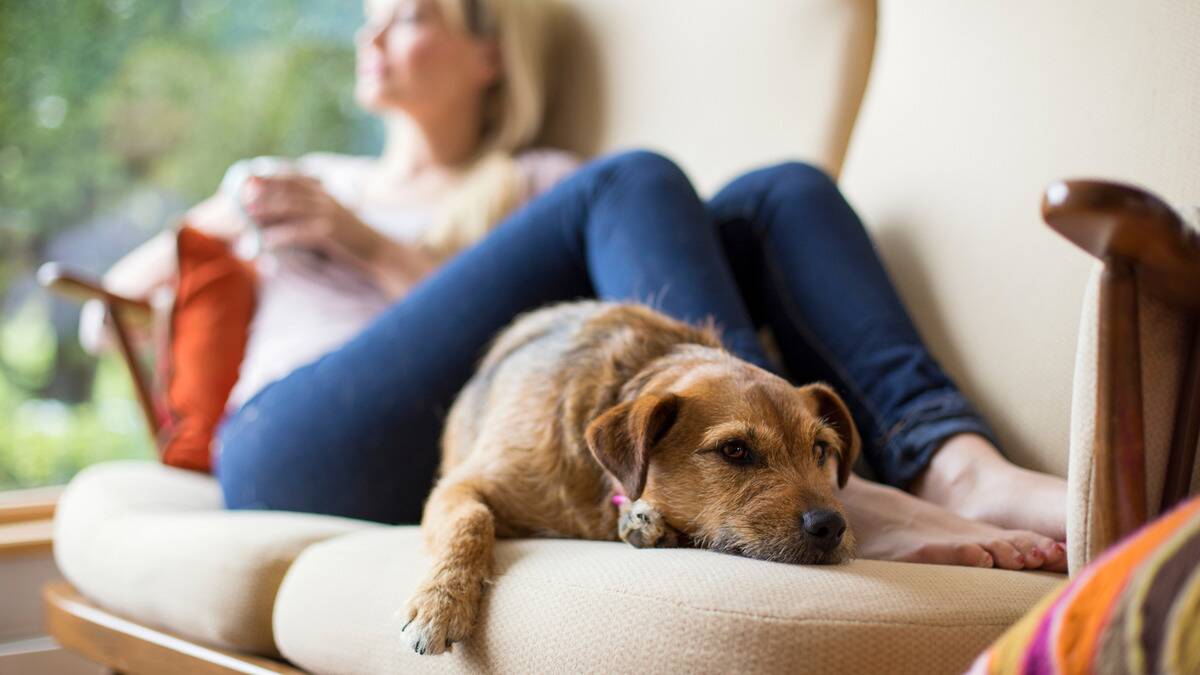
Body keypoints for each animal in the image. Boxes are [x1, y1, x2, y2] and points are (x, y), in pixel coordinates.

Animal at [405, 299, 864, 653]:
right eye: (734, 450)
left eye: (820, 450)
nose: (830, 526)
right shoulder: (459, 486)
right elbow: (473, 521)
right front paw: (442, 603)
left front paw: (649, 523)